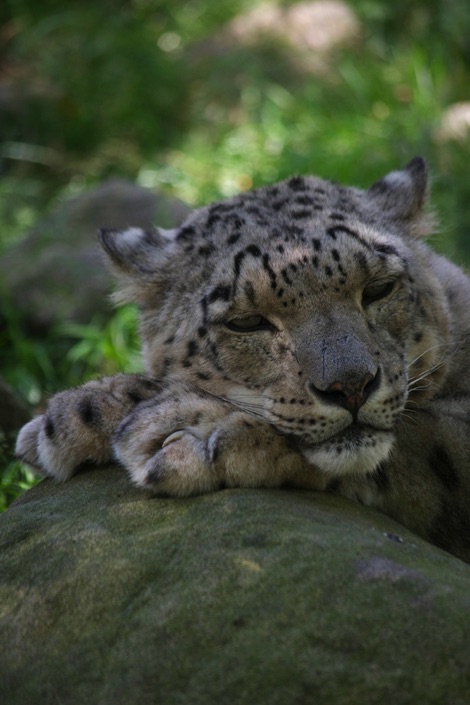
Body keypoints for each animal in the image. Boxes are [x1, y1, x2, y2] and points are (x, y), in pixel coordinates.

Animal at [15, 157, 470, 562]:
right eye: (247, 322)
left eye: (379, 288)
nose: (351, 386)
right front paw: (80, 413)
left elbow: (423, 435)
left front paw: (196, 429)